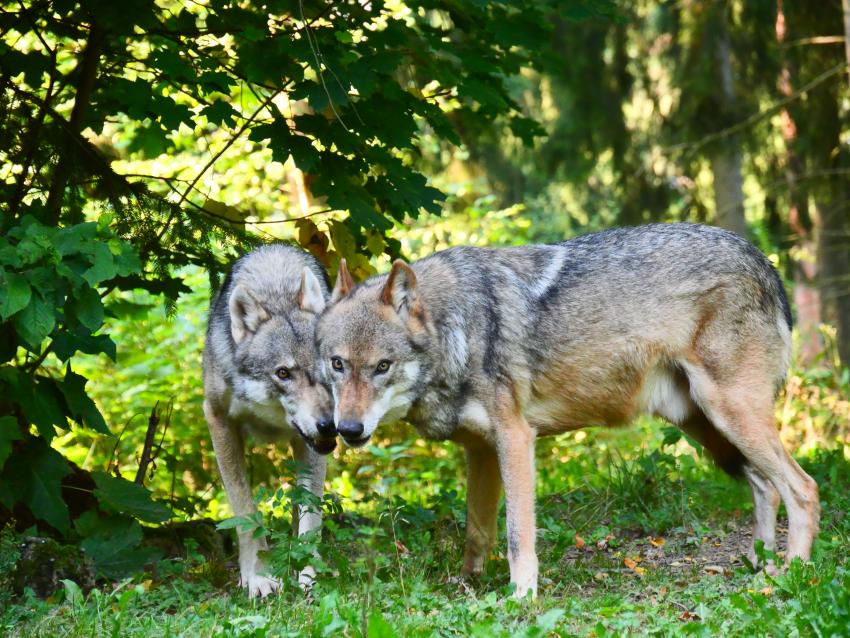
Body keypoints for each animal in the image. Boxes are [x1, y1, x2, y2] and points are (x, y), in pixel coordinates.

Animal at [203, 243, 336, 598]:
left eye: (331, 364)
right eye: (283, 373)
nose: (330, 424)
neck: (276, 293)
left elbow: (311, 515)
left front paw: (309, 574)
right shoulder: (218, 419)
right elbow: (245, 512)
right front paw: (258, 577)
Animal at [316, 223, 820, 598]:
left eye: (382, 366)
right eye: (338, 364)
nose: (347, 429)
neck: (458, 329)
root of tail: (763, 261)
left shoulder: (515, 439)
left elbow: (518, 534)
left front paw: (521, 597)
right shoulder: (480, 451)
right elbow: (477, 530)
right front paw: (468, 585)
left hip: (729, 414)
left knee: (803, 488)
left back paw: (788, 573)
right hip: (708, 426)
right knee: (765, 485)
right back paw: (758, 564)